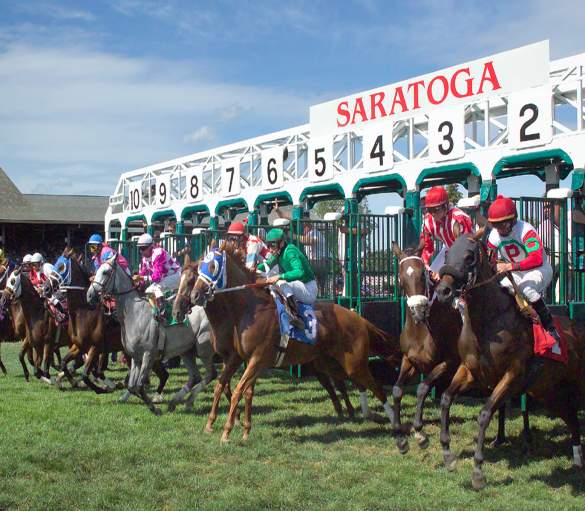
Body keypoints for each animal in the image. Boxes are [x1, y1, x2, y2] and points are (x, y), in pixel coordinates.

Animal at [88, 252, 220, 416]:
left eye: (105, 272)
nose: (89, 295)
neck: (134, 313)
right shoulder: (136, 357)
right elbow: (132, 386)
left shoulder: (148, 354)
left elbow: (139, 385)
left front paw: (154, 407)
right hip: (187, 351)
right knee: (195, 376)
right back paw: (176, 401)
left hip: (203, 347)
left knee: (211, 374)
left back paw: (187, 401)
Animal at [185, 244, 400, 444]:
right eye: (200, 267)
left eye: (212, 266)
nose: (195, 296)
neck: (250, 310)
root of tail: (359, 318)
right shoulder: (241, 359)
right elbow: (233, 388)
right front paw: (240, 430)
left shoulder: (256, 359)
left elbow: (238, 391)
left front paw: (227, 432)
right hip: (329, 362)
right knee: (350, 383)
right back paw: (362, 414)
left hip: (354, 364)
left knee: (377, 388)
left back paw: (394, 423)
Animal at [390, 242, 524, 454]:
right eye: (402, 278)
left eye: (422, 275)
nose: (419, 312)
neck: (423, 331)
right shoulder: (409, 360)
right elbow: (397, 389)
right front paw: (399, 435)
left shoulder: (450, 362)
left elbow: (422, 387)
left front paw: (419, 432)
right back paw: (499, 438)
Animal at [434, 230, 584, 490]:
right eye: (447, 253)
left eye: (469, 256)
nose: (443, 291)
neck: (488, 321)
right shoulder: (471, 371)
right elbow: (445, 399)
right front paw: (448, 455)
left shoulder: (512, 376)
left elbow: (485, 414)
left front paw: (478, 471)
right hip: (549, 392)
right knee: (572, 419)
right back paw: (577, 459)